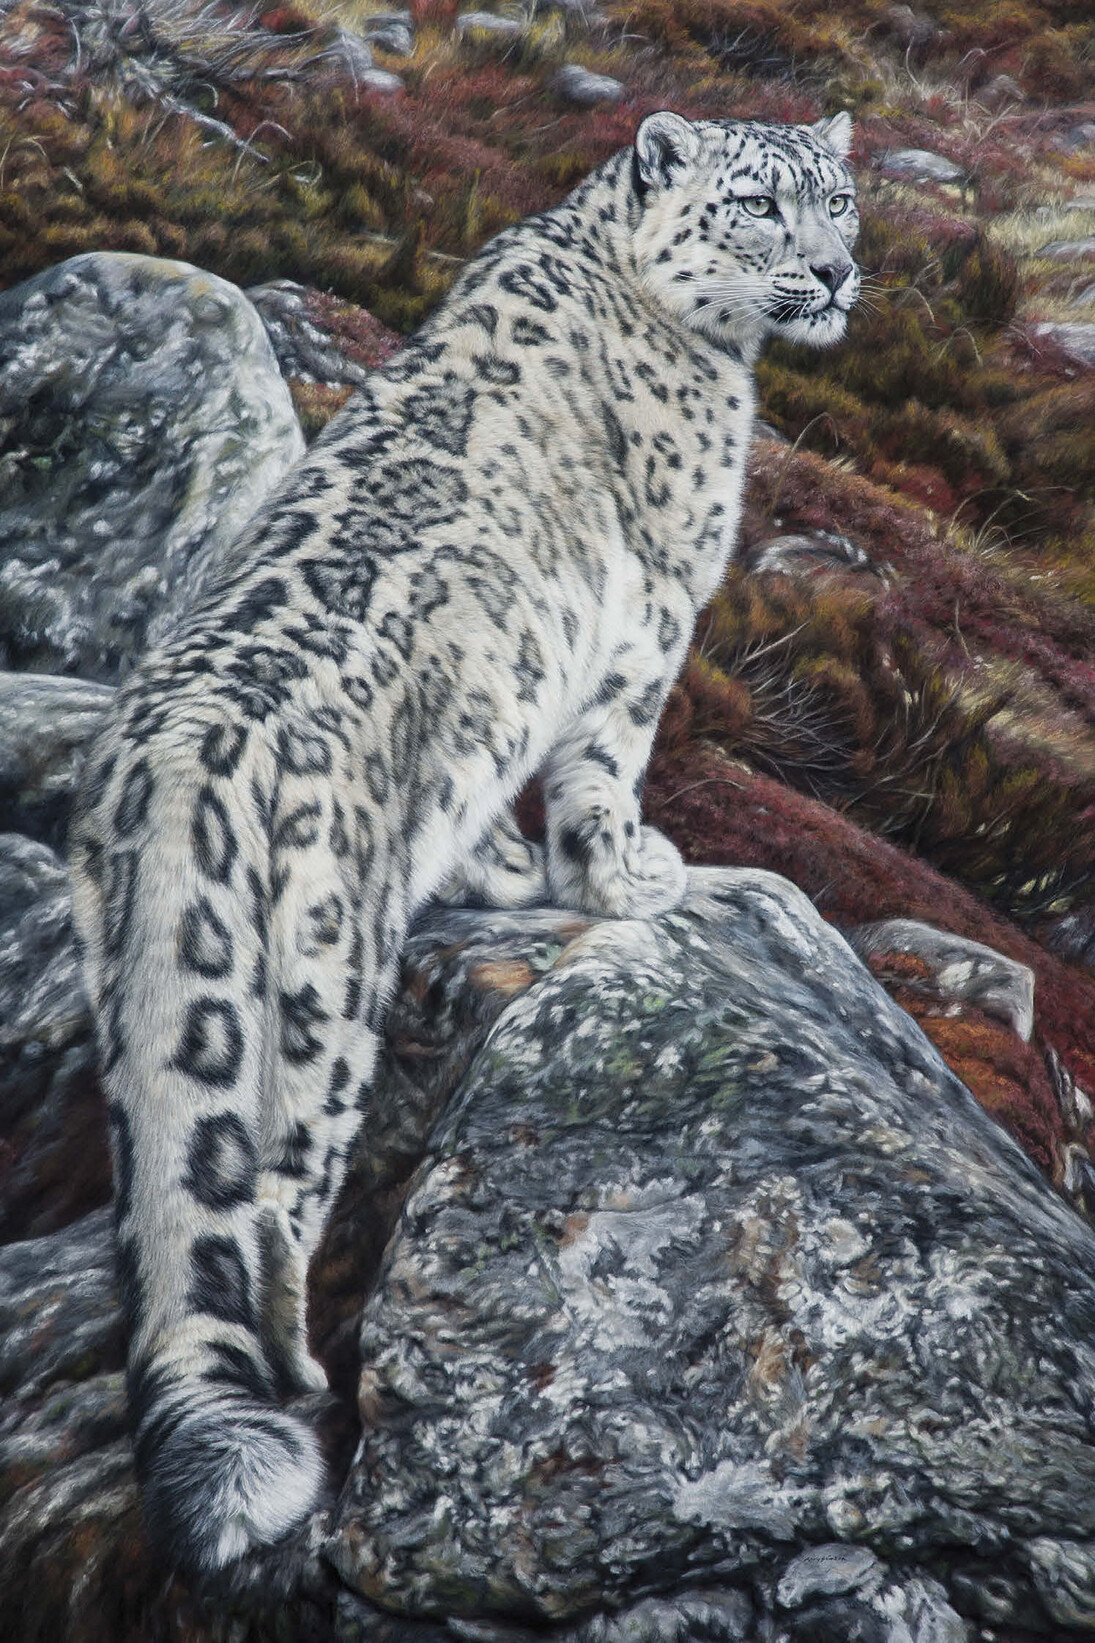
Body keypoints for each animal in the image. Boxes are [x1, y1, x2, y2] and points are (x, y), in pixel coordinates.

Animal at [67, 108, 860, 1575]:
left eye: (839, 198)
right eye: (755, 204)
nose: (836, 272)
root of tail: (170, 760)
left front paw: (512, 870)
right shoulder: (654, 614)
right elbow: (605, 763)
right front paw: (627, 873)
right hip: (318, 985)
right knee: (270, 1193)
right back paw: (303, 1386)